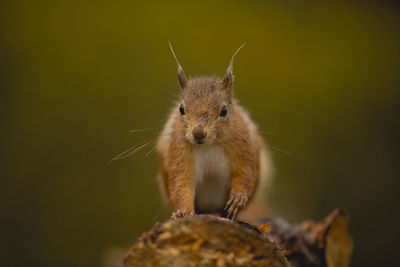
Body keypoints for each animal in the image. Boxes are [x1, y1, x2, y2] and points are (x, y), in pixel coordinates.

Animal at [155, 43, 272, 223]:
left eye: (224, 110)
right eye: (181, 109)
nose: (198, 133)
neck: (209, 146)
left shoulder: (243, 146)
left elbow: (246, 173)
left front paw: (238, 198)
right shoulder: (179, 152)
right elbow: (180, 184)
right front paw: (182, 213)